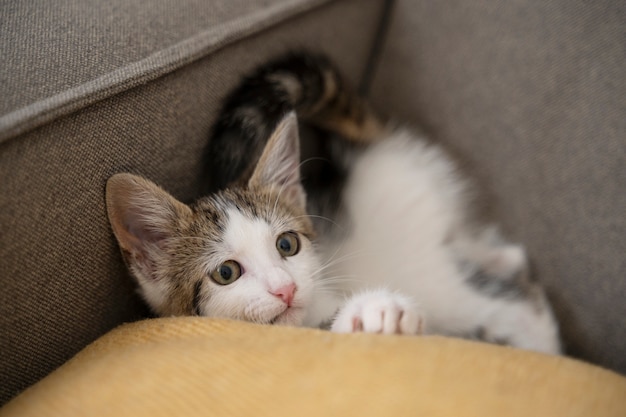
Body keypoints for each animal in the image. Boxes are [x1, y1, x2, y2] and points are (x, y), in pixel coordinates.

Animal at [105, 51, 560, 352]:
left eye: (287, 245)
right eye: (226, 273)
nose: (286, 289)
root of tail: (364, 155)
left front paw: (376, 311)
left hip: (435, 274)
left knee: (508, 296)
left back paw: (537, 336)